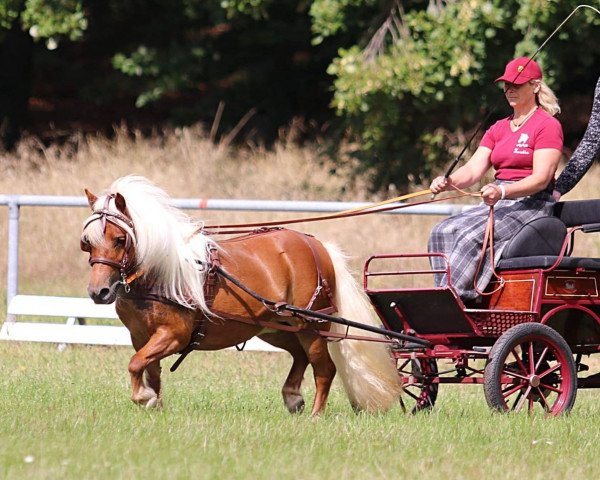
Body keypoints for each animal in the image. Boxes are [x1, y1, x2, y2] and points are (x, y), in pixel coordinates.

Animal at [78, 174, 398, 414]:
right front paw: (154, 403)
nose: (99, 292)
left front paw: (143, 398)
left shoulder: (173, 335)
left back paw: (316, 416)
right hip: (274, 327)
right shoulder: (141, 336)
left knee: (324, 369)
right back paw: (293, 397)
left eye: (120, 239)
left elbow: (136, 364)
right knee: (299, 356)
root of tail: (316, 245)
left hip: (311, 326)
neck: (160, 272)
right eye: (87, 243)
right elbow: (149, 369)